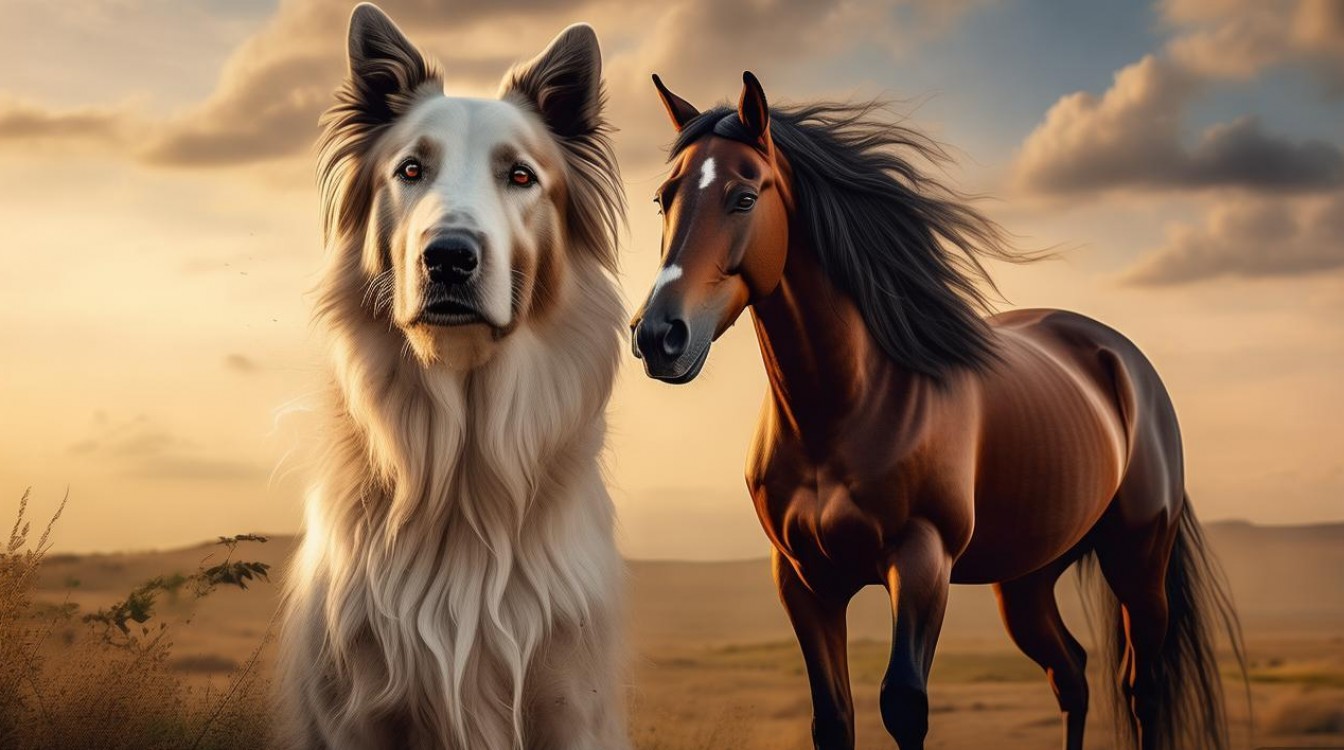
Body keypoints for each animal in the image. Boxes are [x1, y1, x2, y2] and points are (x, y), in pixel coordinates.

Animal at [629, 71, 1247, 750]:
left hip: (1138, 561)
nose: (658, 336)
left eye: (743, 197)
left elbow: (904, 705)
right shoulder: (802, 579)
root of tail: (1125, 362)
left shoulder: (922, 561)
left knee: (1143, 687)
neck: (842, 410)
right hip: (1026, 578)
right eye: (663, 198)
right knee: (1072, 674)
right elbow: (832, 717)